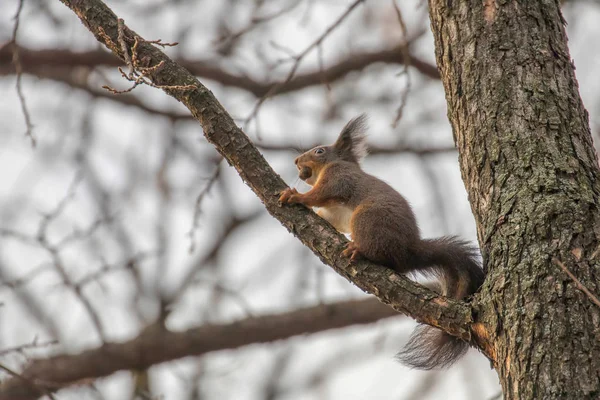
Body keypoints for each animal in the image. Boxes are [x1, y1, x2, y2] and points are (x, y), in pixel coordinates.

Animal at [278, 113, 486, 368]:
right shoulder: (336, 214)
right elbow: (330, 218)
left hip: (367, 219)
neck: (332, 165)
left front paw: (296, 196)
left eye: (319, 150)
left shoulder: (339, 177)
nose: (296, 160)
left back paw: (358, 250)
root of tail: (410, 252)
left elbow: (320, 194)